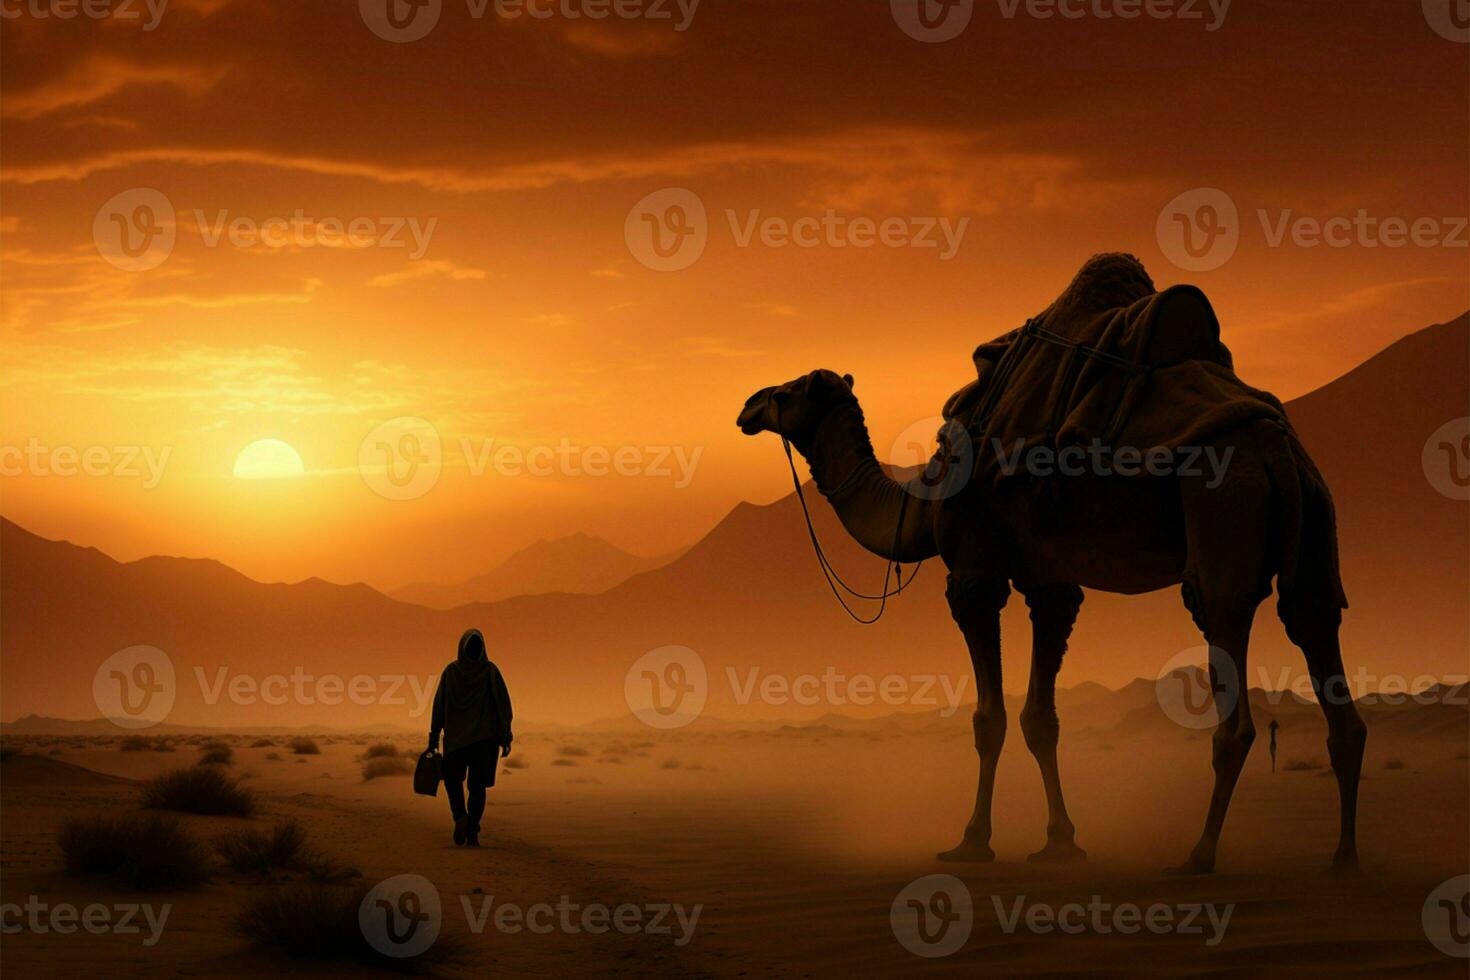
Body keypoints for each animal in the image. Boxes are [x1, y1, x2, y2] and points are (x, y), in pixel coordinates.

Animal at [740, 255, 1370, 875]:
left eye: (790, 391)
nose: (747, 405)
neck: (922, 499)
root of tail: (1273, 445)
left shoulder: (975, 568)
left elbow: (989, 719)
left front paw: (972, 842)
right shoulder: (1050, 581)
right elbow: (1042, 719)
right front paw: (1060, 842)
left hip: (1222, 509)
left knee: (1228, 660)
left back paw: (1200, 854)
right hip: (1317, 514)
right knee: (1320, 639)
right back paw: (1342, 856)